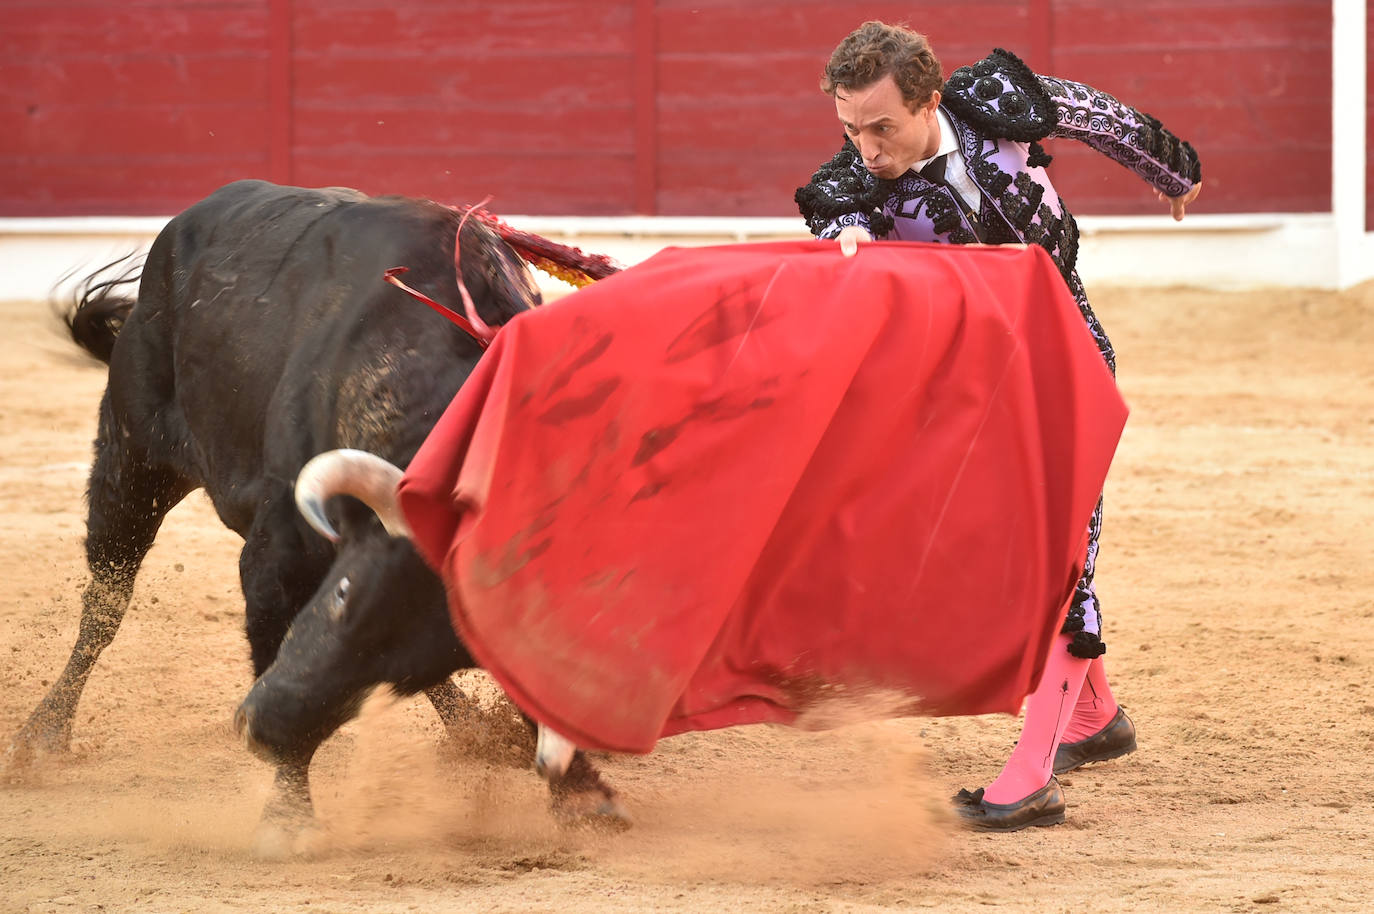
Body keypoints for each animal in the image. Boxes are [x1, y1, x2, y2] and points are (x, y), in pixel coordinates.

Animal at [5, 180, 626, 857]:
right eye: (342, 596)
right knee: (105, 603)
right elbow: (269, 640)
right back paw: (41, 738)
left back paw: (473, 731)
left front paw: (581, 792)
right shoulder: (275, 560)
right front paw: (287, 818)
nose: (259, 726)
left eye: (407, 677)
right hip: (131, 461)